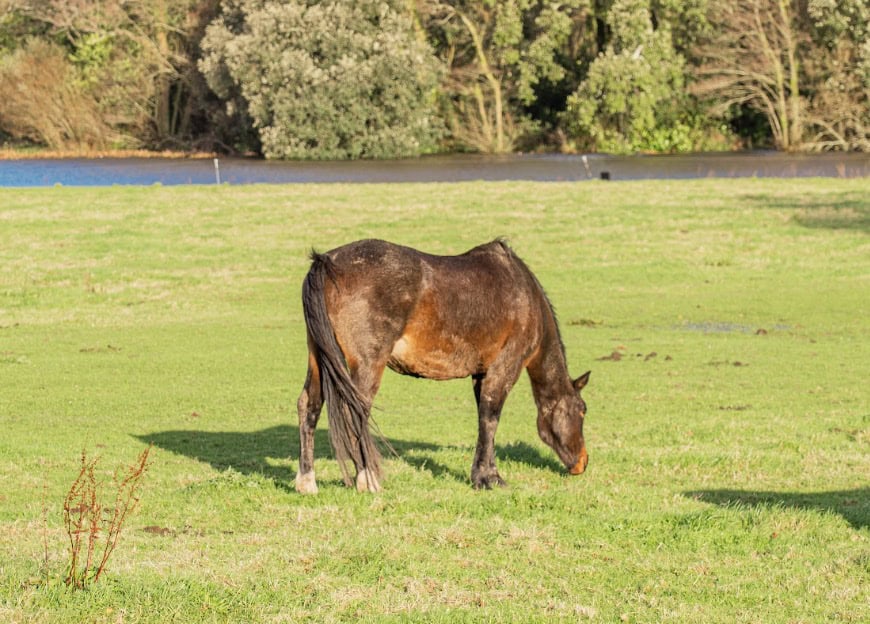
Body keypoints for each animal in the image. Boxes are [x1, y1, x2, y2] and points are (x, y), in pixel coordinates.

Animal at [295, 239, 590, 493]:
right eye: (583, 410)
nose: (582, 463)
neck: (526, 297)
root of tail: (326, 261)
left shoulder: (480, 373)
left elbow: (484, 421)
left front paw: (484, 473)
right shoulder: (504, 368)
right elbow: (491, 418)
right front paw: (489, 478)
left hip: (318, 359)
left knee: (309, 406)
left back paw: (307, 482)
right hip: (366, 365)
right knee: (354, 411)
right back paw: (367, 479)